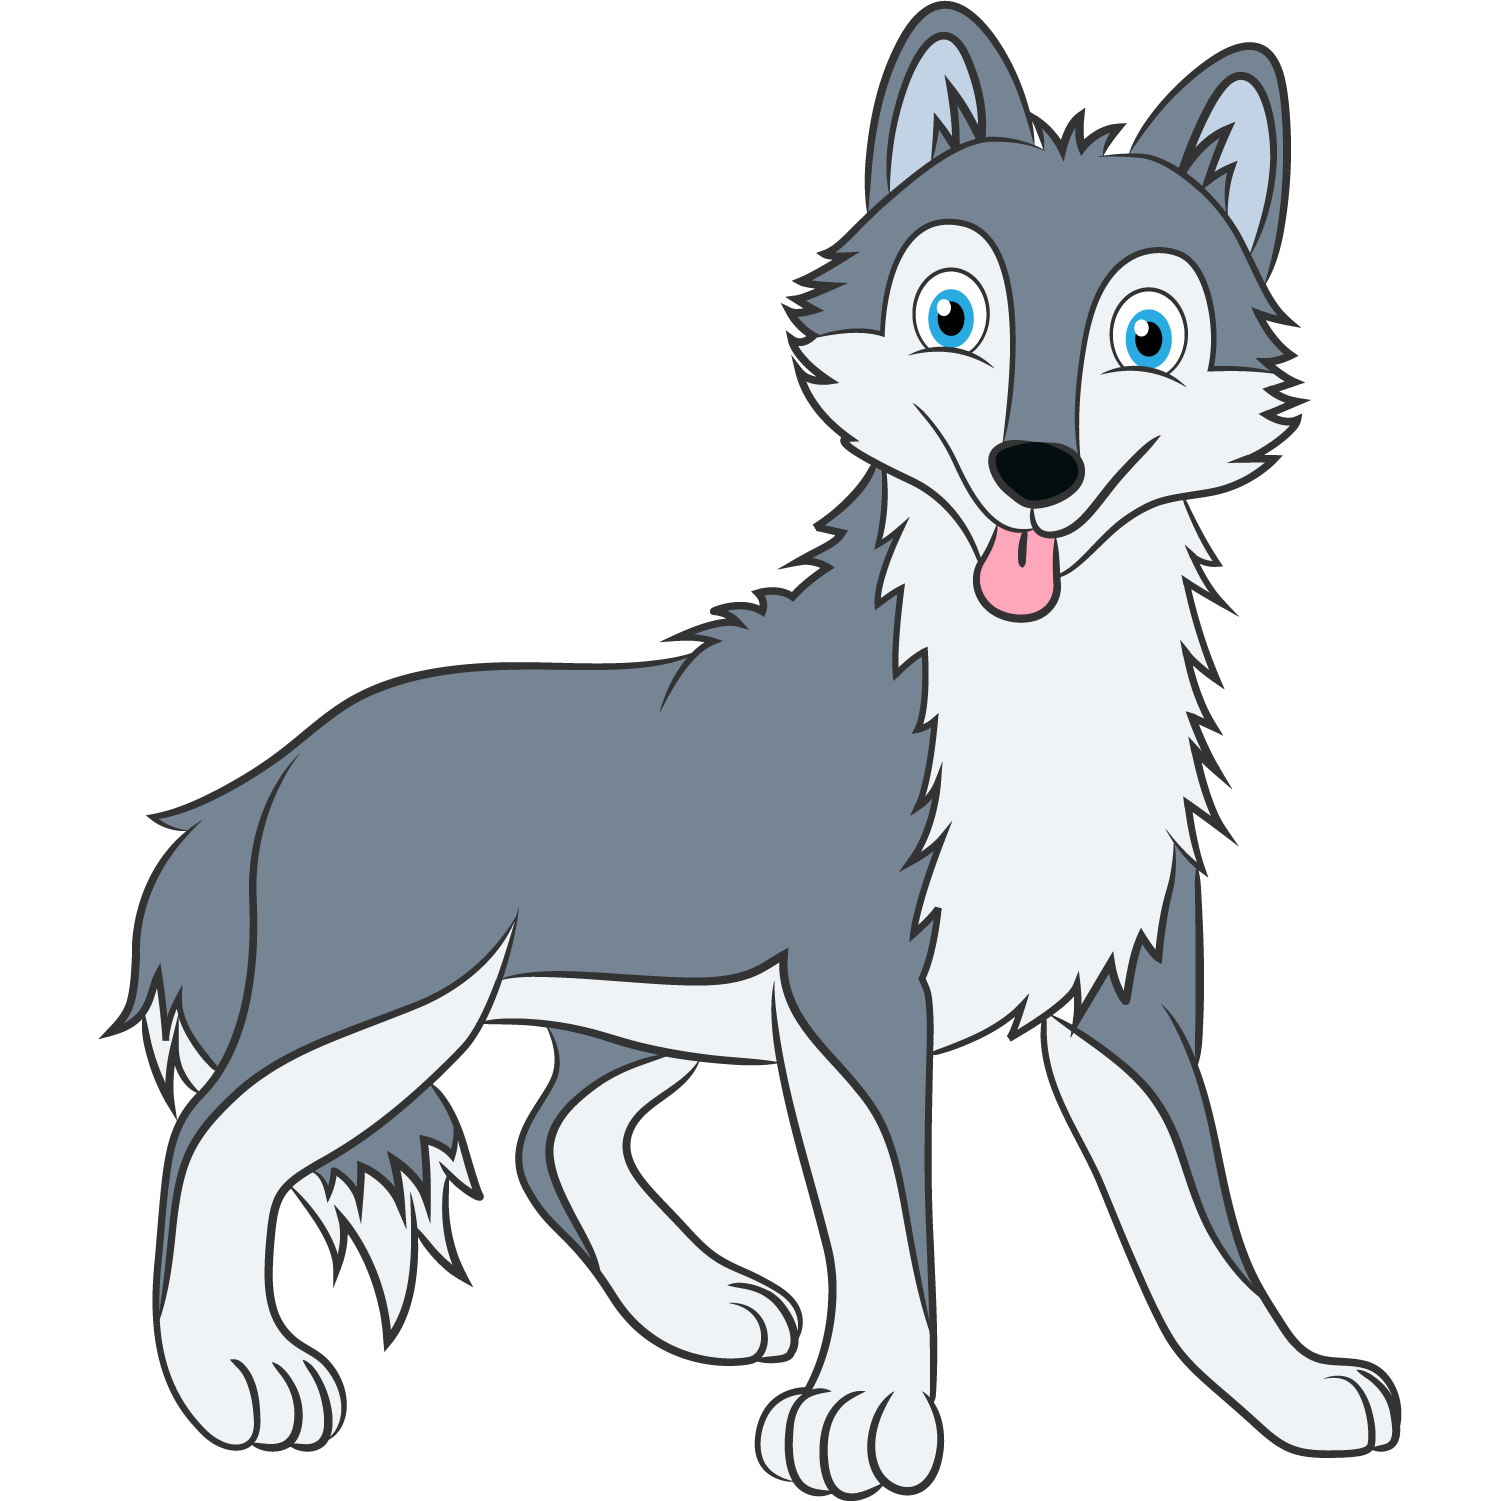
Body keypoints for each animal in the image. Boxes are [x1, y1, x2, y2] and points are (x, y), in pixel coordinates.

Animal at [108, 5, 1399, 1491]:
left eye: (1147, 332)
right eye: (953, 316)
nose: (1035, 472)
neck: (1029, 706)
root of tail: (277, 767)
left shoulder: (1123, 1000)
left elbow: (1201, 1232)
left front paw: (1292, 1397)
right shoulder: (854, 997)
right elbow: (893, 1222)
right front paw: (870, 1411)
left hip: (639, 1009)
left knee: (552, 1137)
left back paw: (697, 1304)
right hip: (392, 1011)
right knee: (212, 1140)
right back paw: (237, 1377)